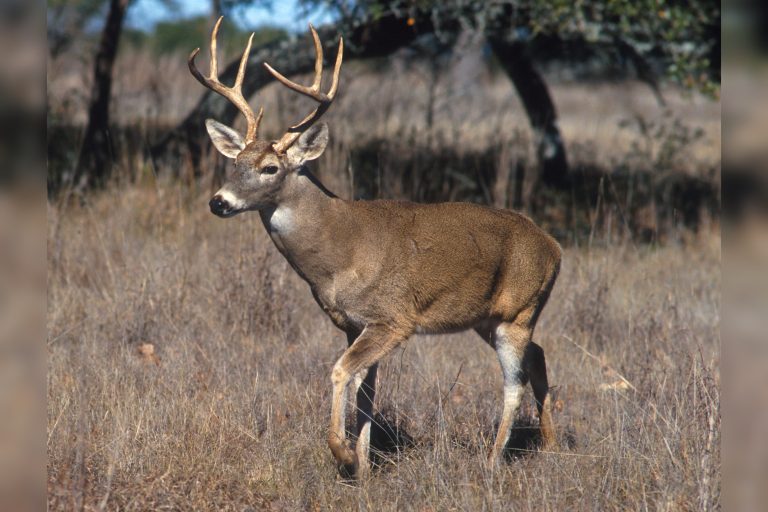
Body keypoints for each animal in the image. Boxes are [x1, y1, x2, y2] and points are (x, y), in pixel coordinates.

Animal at [189, 18, 562, 480]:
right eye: (235, 163)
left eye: (270, 167)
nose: (218, 202)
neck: (339, 253)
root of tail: (554, 247)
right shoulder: (354, 323)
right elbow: (366, 390)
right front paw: (365, 466)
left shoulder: (393, 318)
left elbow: (340, 372)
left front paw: (344, 454)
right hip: (488, 317)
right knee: (539, 356)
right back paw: (550, 445)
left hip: (518, 310)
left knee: (514, 381)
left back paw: (493, 461)